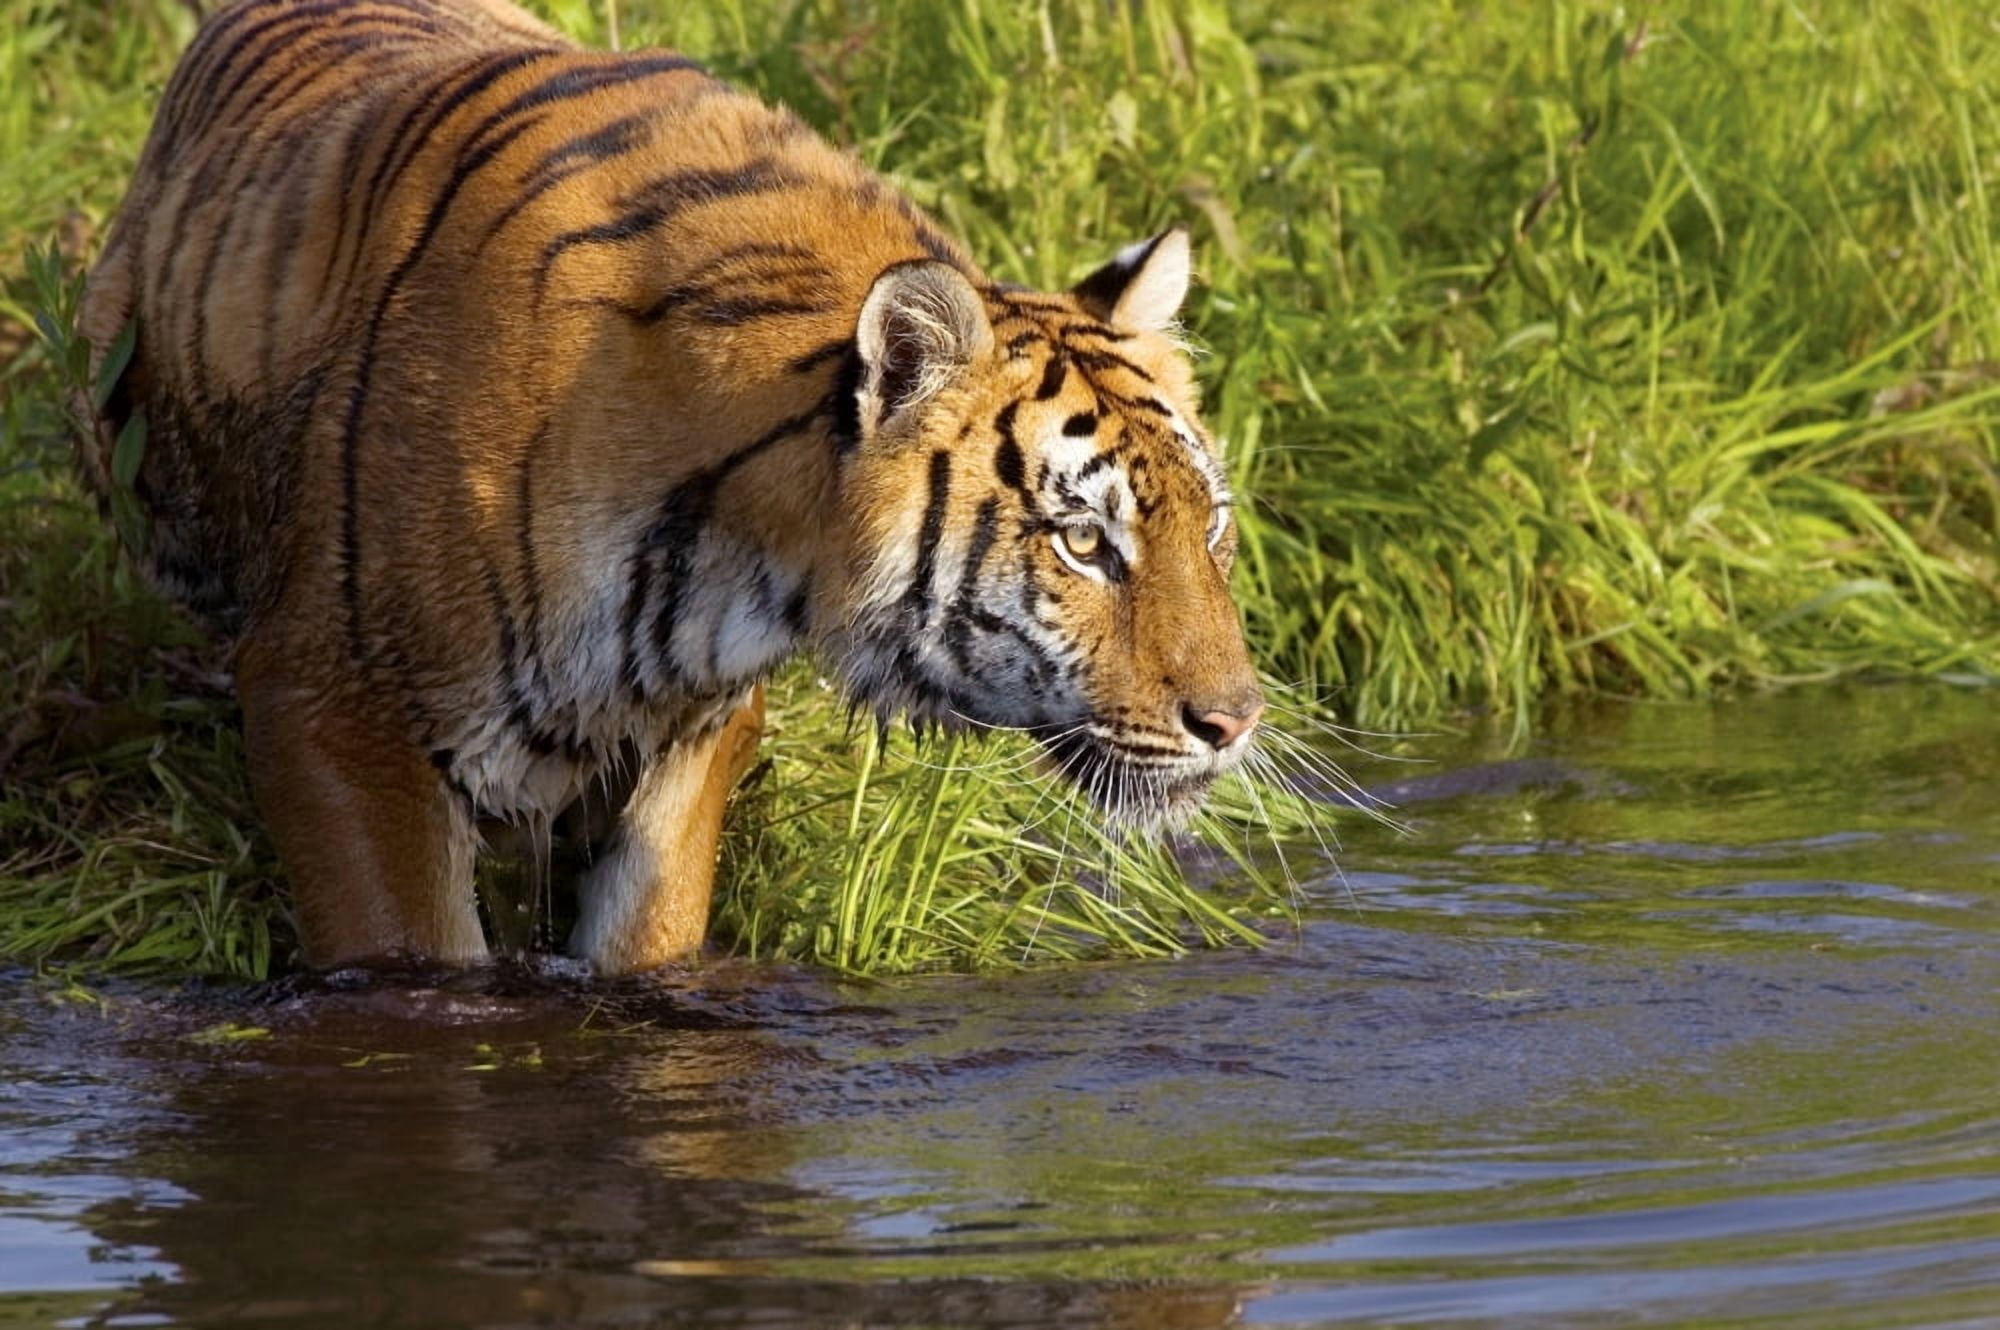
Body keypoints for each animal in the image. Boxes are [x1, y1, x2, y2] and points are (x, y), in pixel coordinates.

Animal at [77, 0, 1266, 975]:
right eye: (1082, 541)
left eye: (1210, 527)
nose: (1237, 722)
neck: (740, 558)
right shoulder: (330, 700)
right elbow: (408, 956)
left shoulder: (693, 733)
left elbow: (649, 935)